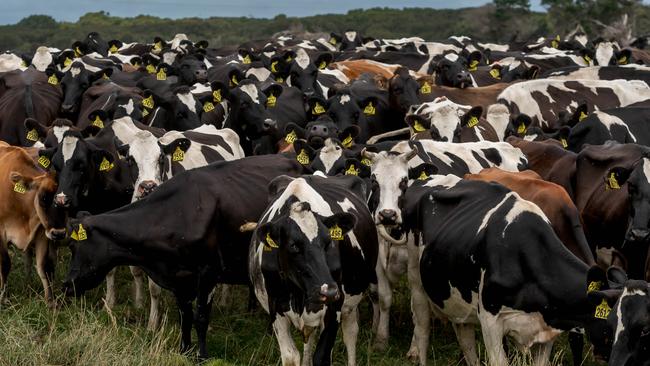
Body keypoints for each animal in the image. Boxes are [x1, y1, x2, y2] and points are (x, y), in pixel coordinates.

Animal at [61, 154, 304, 358]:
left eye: (73, 245)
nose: (67, 284)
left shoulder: (208, 272)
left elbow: (201, 317)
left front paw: (202, 356)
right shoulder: (179, 276)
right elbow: (184, 316)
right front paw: (184, 350)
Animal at [248, 174, 378, 366]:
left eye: (329, 242)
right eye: (293, 246)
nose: (328, 290)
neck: (299, 294)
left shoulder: (334, 307)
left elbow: (322, 356)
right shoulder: (275, 305)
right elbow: (291, 356)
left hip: (350, 302)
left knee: (350, 333)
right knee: (309, 340)